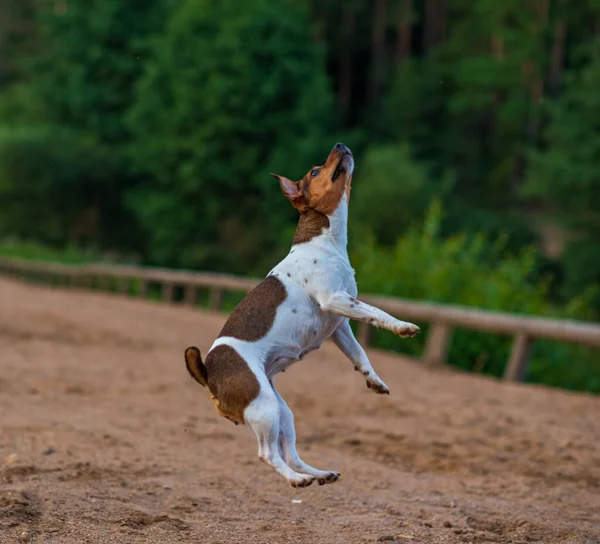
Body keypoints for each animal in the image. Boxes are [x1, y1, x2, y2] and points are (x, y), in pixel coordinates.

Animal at [185, 142, 420, 486]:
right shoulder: (334, 301)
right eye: (315, 171)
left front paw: (374, 380)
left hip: (283, 411)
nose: (339, 144)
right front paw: (403, 326)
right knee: (268, 454)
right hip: (265, 406)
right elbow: (377, 312)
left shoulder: (339, 324)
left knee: (290, 453)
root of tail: (206, 372)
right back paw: (298, 480)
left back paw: (321, 474)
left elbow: (360, 354)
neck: (324, 241)